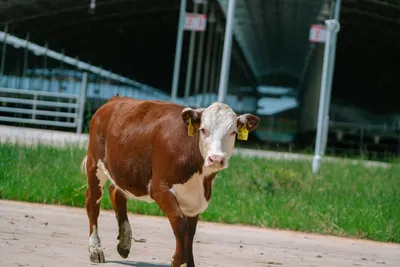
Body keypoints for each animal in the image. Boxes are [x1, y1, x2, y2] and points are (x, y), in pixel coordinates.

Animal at [81, 96, 260, 267]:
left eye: (233, 132)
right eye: (203, 130)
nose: (216, 159)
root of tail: (114, 100)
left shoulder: (195, 199)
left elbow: (190, 232)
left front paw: (188, 263)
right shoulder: (159, 188)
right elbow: (180, 223)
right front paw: (177, 260)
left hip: (124, 171)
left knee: (116, 193)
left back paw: (124, 244)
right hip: (94, 164)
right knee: (92, 202)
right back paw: (95, 249)